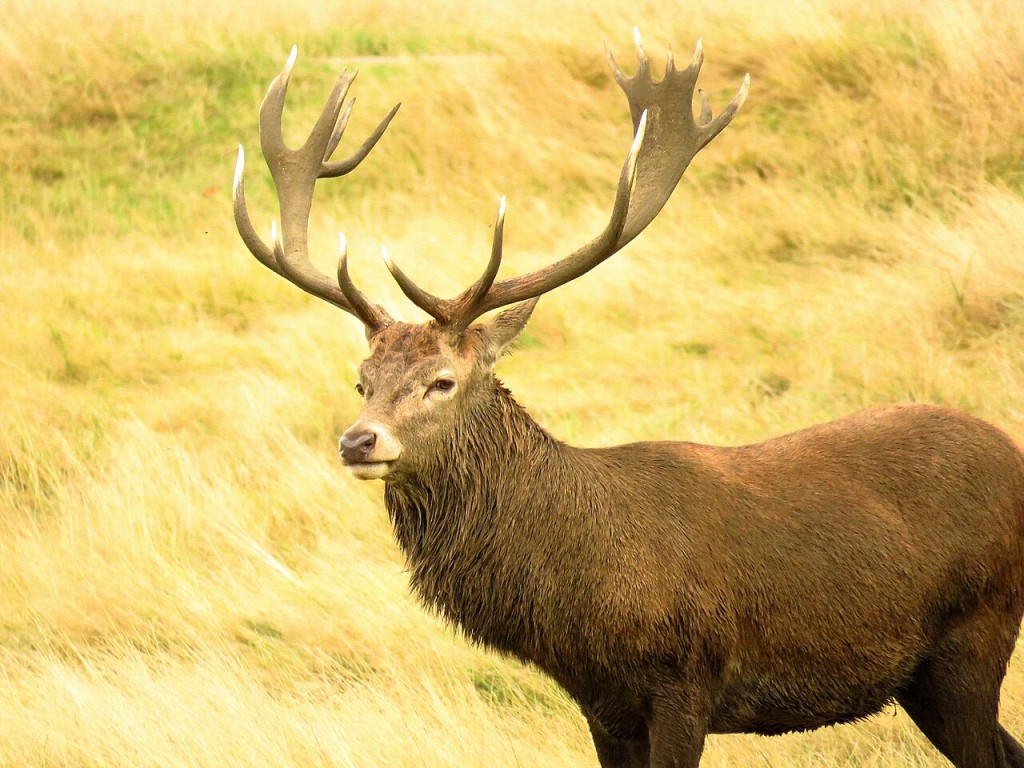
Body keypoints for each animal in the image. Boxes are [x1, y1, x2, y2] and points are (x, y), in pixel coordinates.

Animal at [232, 32, 1024, 768]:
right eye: (361, 378)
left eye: (442, 381)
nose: (358, 440)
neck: (581, 596)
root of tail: (1013, 454)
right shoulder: (601, 703)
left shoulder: (684, 679)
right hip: (924, 673)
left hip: (975, 633)